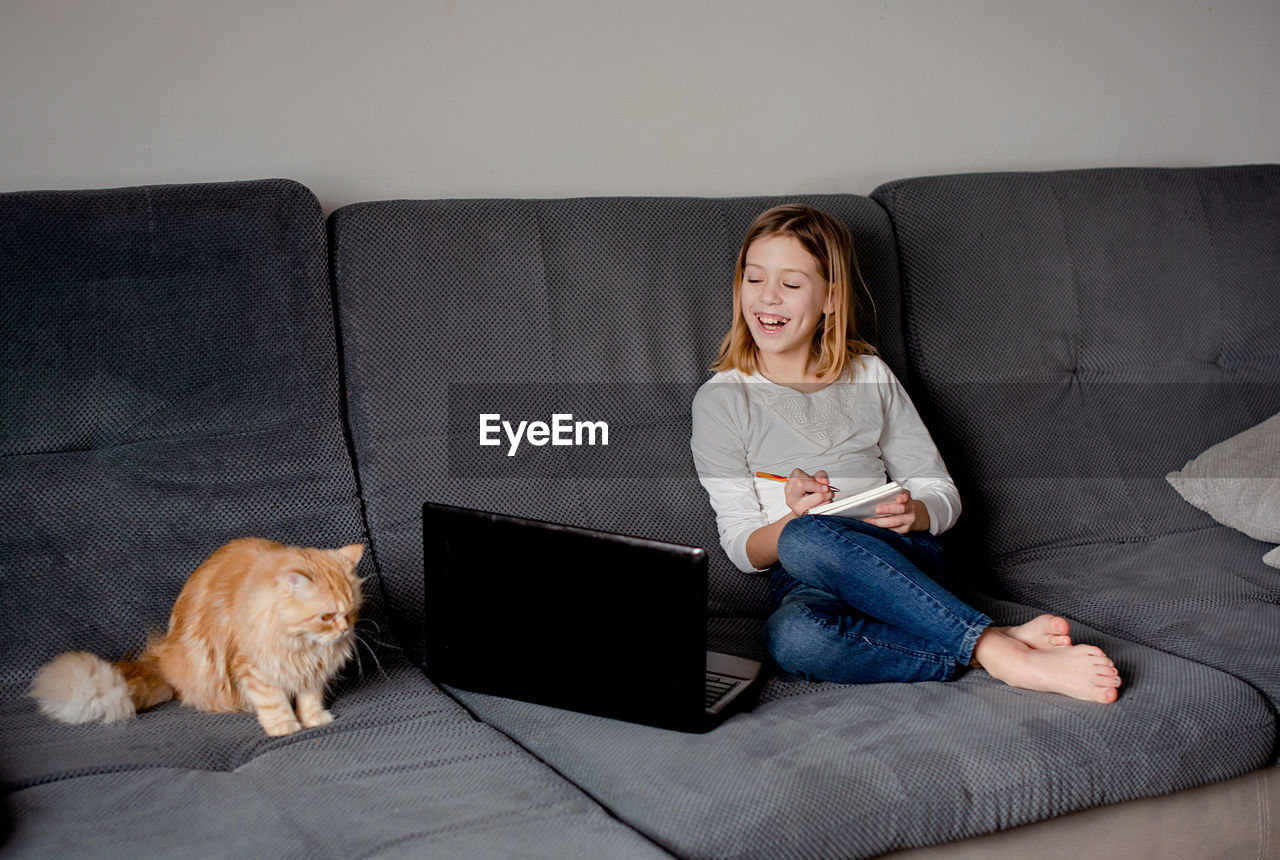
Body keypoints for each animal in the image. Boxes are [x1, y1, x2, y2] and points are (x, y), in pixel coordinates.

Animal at [28, 537, 366, 732]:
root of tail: (162, 661)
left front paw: (314, 719)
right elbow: (273, 702)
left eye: (351, 611)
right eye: (326, 616)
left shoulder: (312, 672)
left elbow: (309, 699)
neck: (302, 647)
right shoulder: (253, 667)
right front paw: (286, 727)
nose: (344, 629)